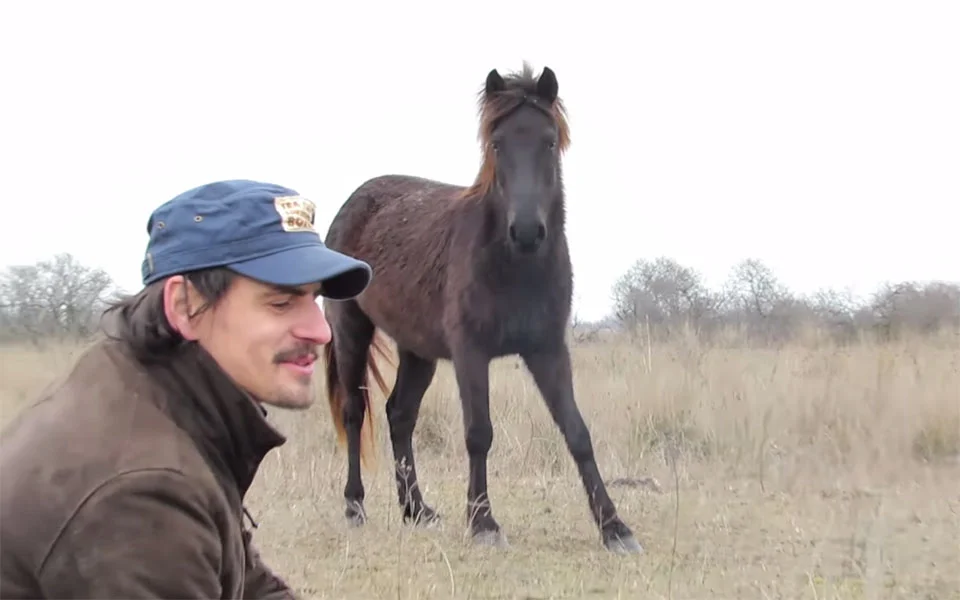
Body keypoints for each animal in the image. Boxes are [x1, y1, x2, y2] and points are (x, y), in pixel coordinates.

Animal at [321, 62, 642, 554]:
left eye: (549, 141)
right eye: (497, 143)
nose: (526, 231)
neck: (514, 266)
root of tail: (354, 202)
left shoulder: (548, 350)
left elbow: (577, 432)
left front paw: (615, 527)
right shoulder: (470, 353)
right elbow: (479, 433)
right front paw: (483, 522)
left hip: (418, 351)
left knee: (400, 415)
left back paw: (417, 509)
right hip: (351, 330)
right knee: (356, 412)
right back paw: (355, 507)